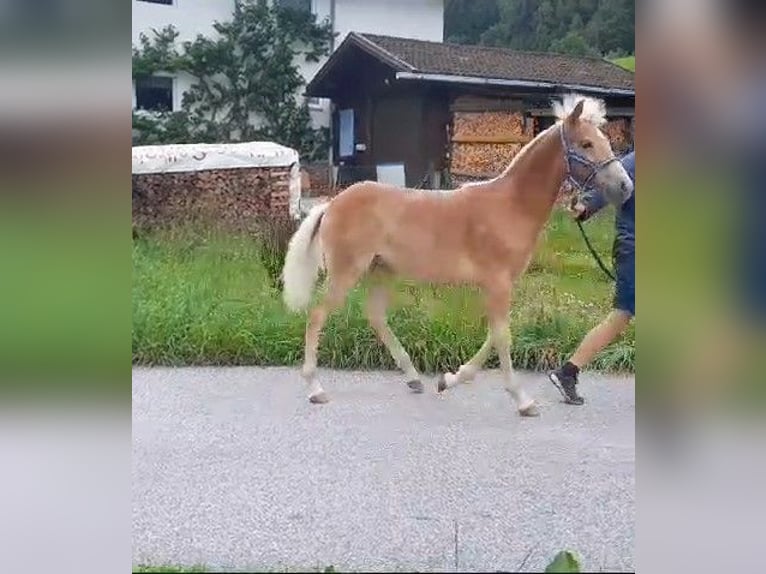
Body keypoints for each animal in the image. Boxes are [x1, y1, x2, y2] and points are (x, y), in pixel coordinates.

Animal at [282, 93, 636, 418]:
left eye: (605, 140)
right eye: (586, 144)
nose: (625, 186)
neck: (510, 206)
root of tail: (331, 204)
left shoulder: (499, 285)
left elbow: (494, 336)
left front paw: (448, 379)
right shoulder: (497, 282)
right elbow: (503, 337)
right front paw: (523, 401)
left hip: (381, 271)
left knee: (376, 317)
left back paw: (414, 379)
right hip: (347, 272)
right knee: (317, 315)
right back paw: (315, 389)